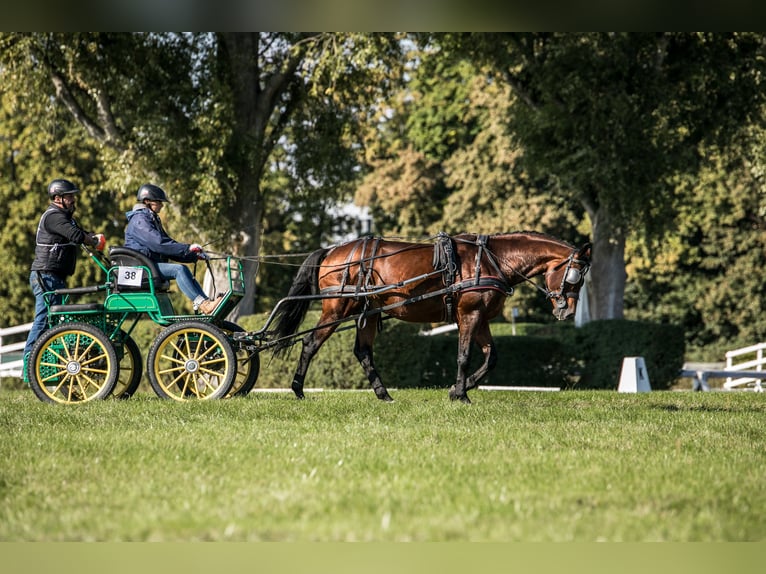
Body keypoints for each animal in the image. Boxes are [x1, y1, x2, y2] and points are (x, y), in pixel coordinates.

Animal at [270, 232, 591, 403]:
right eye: (574, 277)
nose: (567, 311)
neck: (492, 260)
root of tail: (333, 251)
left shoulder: (481, 319)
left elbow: (491, 358)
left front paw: (459, 388)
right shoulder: (469, 314)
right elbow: (464, 356)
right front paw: (461, 393)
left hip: (367, 313)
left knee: (363, 352)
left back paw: (383, 394)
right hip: (337, 308)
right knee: (310, 344)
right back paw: (298, 389)